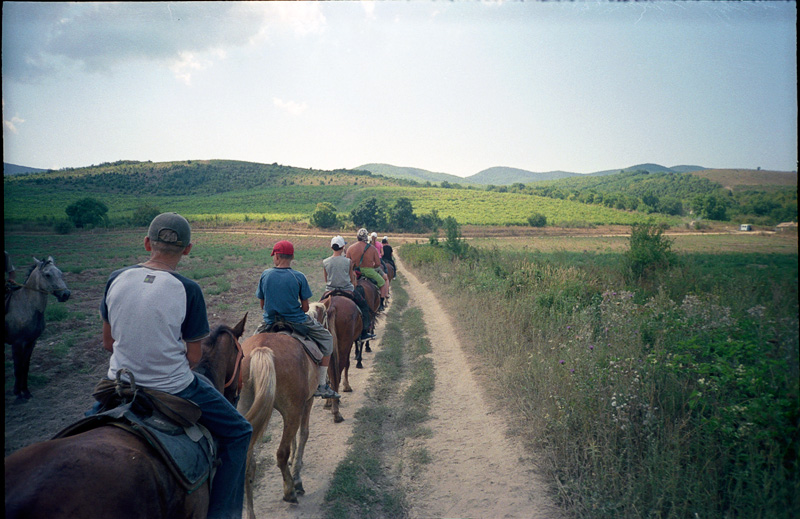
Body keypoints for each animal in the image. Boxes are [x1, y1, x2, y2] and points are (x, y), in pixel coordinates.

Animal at [4, 258, 72, 400]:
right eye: (47, 275)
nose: (66, 294)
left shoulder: (31, 342)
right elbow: (17, 368)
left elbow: (25, 366)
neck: (25, 306)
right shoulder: (17, 343)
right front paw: (18, 394)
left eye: (60, 273)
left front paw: (26, 391)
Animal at [238, 300, 338, 512]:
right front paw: (297, 475)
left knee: (248, 465)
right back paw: (290, 490)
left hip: (246, 409)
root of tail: (261, 351)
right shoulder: (305, 402)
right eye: (326, 317)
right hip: (293, 409)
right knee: (281, 454)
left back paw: (251, 512)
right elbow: (304, 434)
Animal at [322, 294, 366, 424]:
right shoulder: (350, 344)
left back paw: (330, 402)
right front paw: (347, 386)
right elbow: (347, 364)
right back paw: (336, 412)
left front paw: (328, 401)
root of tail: (332, 306)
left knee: (331, 372)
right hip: (344, 345)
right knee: (337, 372)